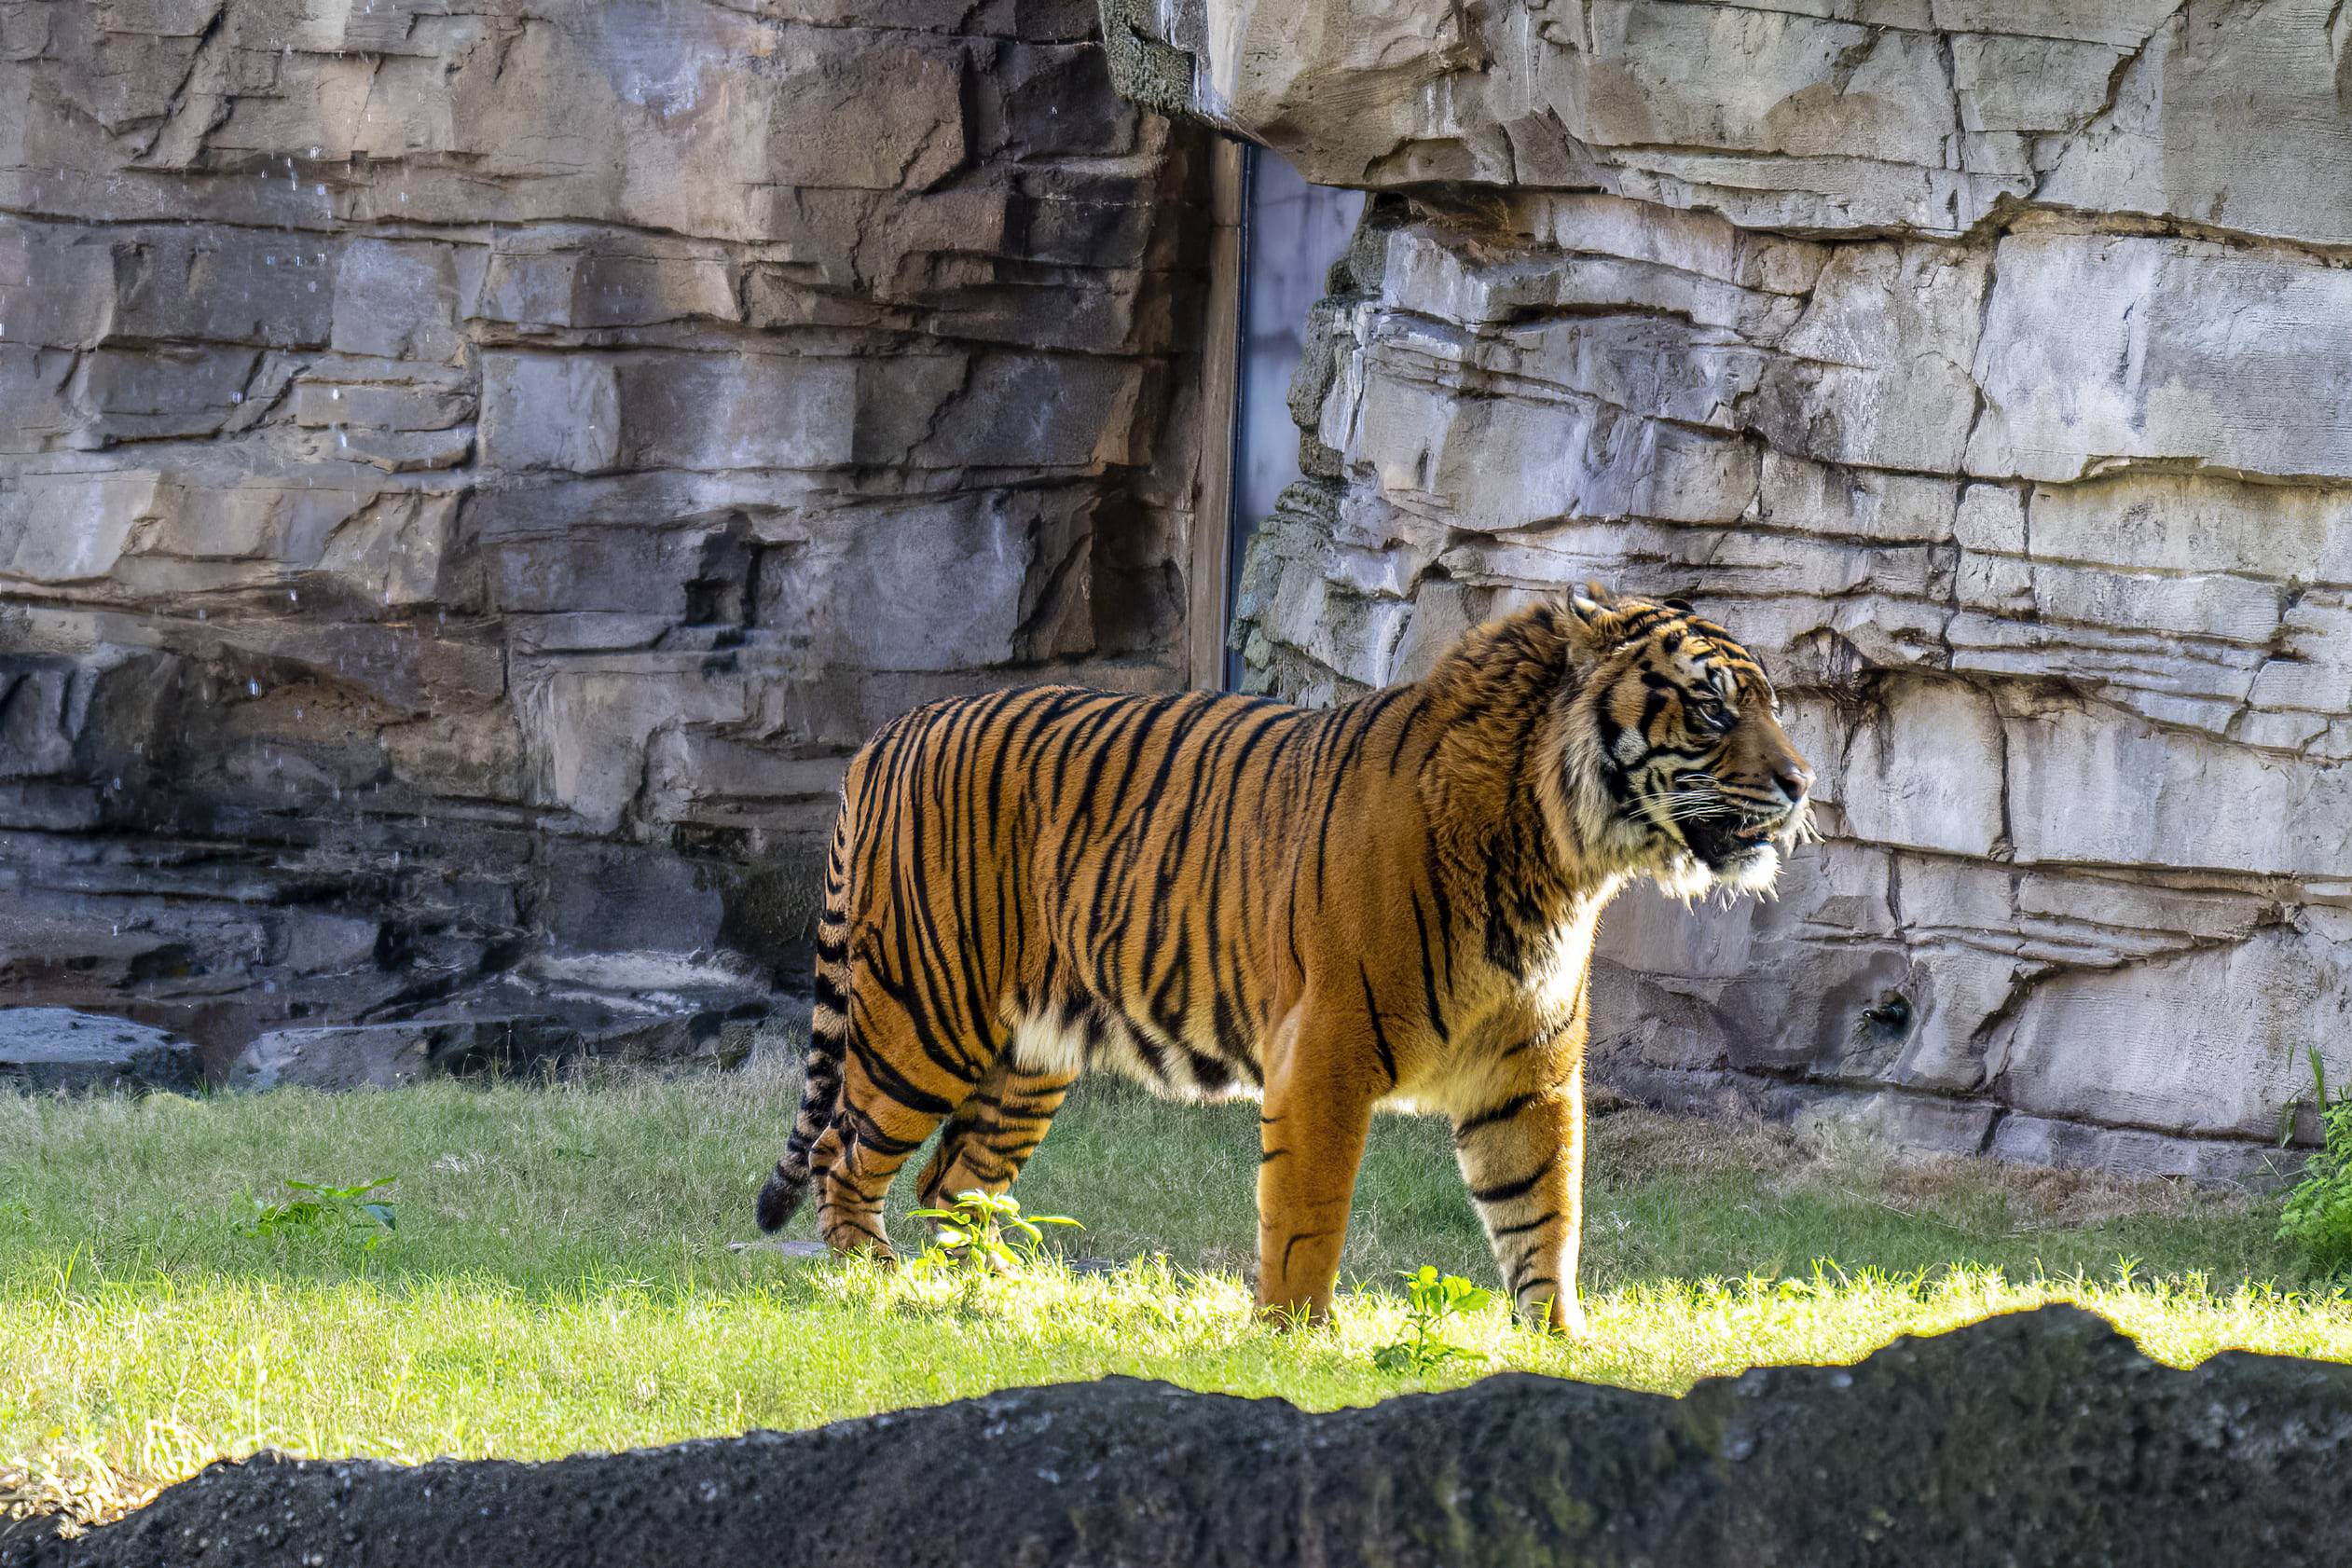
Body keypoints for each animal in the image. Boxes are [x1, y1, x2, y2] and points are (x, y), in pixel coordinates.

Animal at [752, 583, 1796, 1335]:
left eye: (1771, 709)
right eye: (1712, 709)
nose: (1800, 781)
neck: (1560, 852)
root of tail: (888, 733)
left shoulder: (1526, 1067)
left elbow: (1542, 1207)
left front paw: (1558, 1339)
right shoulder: (1327, 1047)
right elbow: (1308, 1206)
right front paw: (1295, 1337)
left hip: (1030, 1057)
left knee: (953, 1181)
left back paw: (1002, 1290)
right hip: (925, 1017)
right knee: (847, 1150)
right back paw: (869, 1277)